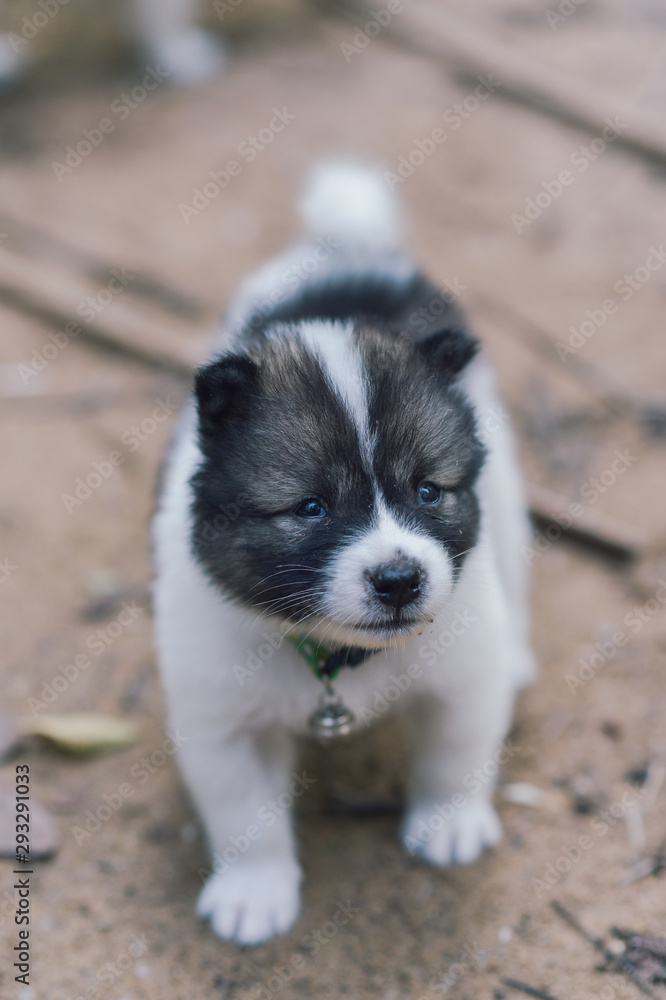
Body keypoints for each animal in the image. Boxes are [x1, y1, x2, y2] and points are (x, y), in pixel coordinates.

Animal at [152, 162, 536, 944]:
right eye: (311, 508)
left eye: (428, 491)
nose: (399, 579)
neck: (335, 654)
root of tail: (351, 253)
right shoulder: (220, 719)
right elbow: (244, 813)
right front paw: (255, 892)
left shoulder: (460, 677)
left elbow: (455, 753)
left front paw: (448, 825)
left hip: (506, 495)